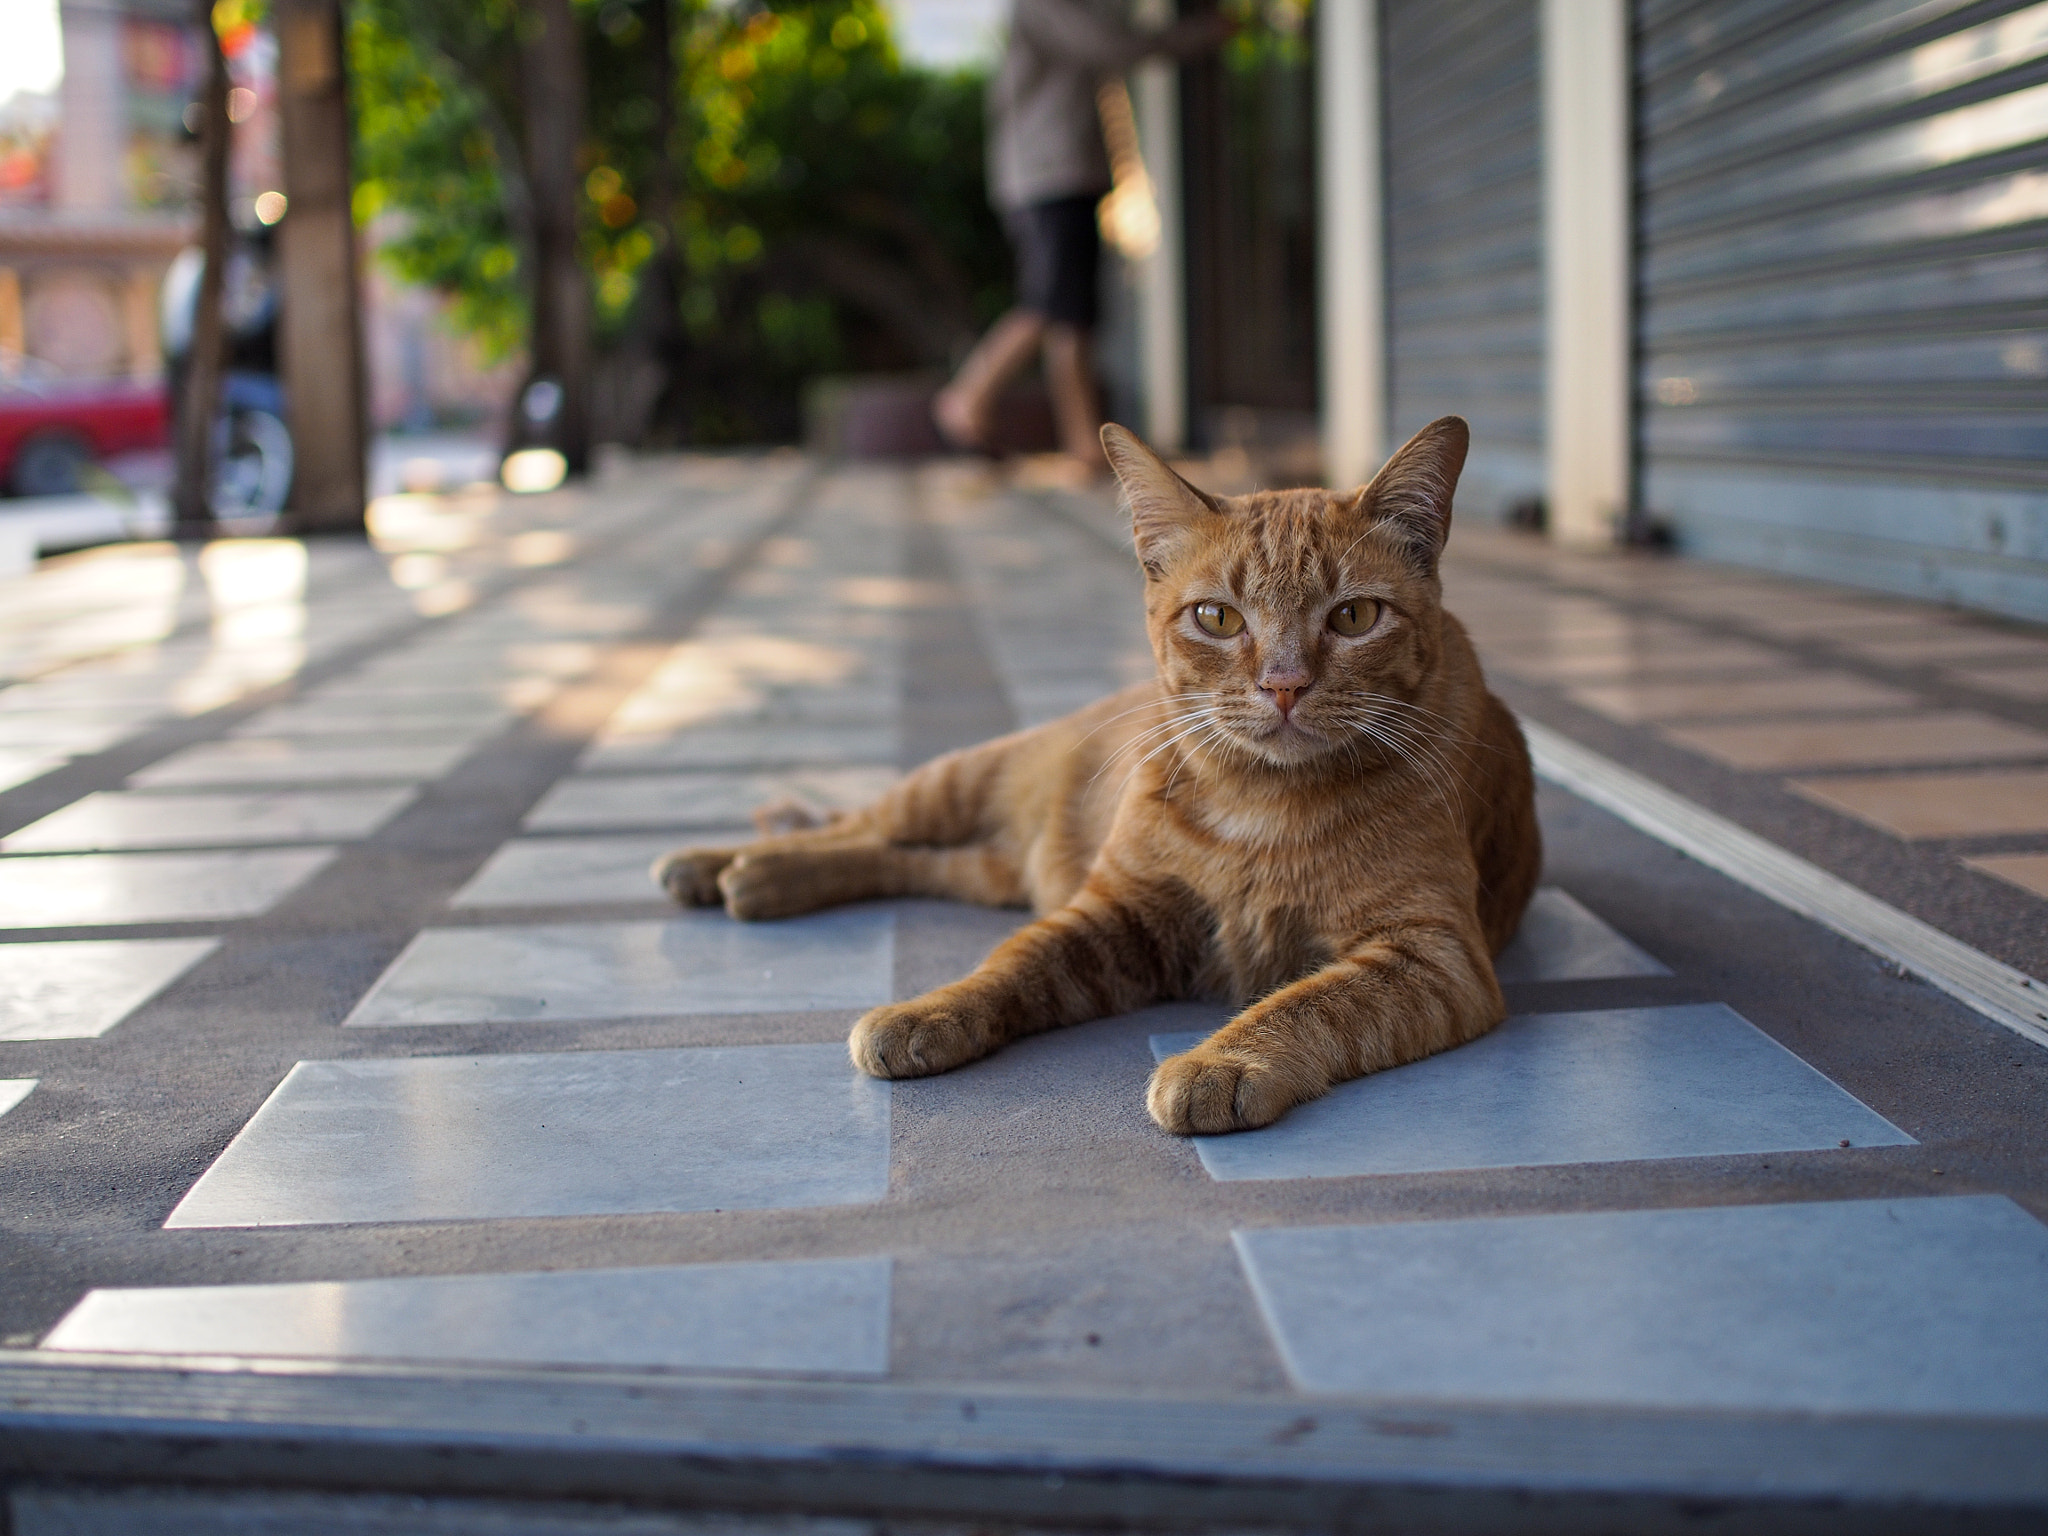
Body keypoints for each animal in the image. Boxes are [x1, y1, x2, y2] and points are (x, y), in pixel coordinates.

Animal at [655, 417, 1540, 1130]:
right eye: (1217, 617)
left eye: (1353, 616)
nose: (1284, 685)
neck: (1260, 797)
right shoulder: (1117, 910)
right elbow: (1011, 966)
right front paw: (927, 1010)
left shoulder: (1432, 953)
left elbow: (1311, 1004)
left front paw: (1220, 1061)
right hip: (954, 783)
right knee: (860, 825)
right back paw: (722, 865)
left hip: (986, 868)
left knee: (901, 860)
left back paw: (751, 878)